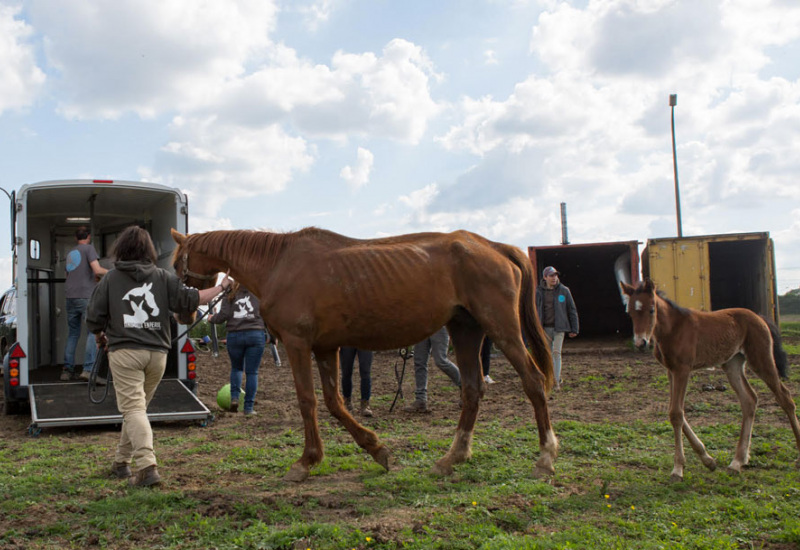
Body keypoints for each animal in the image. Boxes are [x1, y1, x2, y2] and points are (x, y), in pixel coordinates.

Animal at [170, 227, 556, 484]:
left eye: (176, 264)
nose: (183, 311)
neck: (278, 264)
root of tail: (493, 246)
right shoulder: (325, 348)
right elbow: (334, 402)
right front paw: (376, 449)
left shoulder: (297, 344)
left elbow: (308, 401)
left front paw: (305, 462)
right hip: (466, 330)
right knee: (473, 390)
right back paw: (452, 458)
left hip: (501, 328)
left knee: (534, 382)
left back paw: (545, 457)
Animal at [624, 280, 800, 484]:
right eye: (630, 312)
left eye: (652, 309)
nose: (640, 343)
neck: (673, 328)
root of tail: (759, 317)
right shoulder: (670, 371)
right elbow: (675, 412)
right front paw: (708, 460)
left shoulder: (682, 370)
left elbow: (676, 413)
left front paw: (678, 469)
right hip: (732, 364)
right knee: (749, 400)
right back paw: (737, 462)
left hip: (761, 359)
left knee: (785, 397)